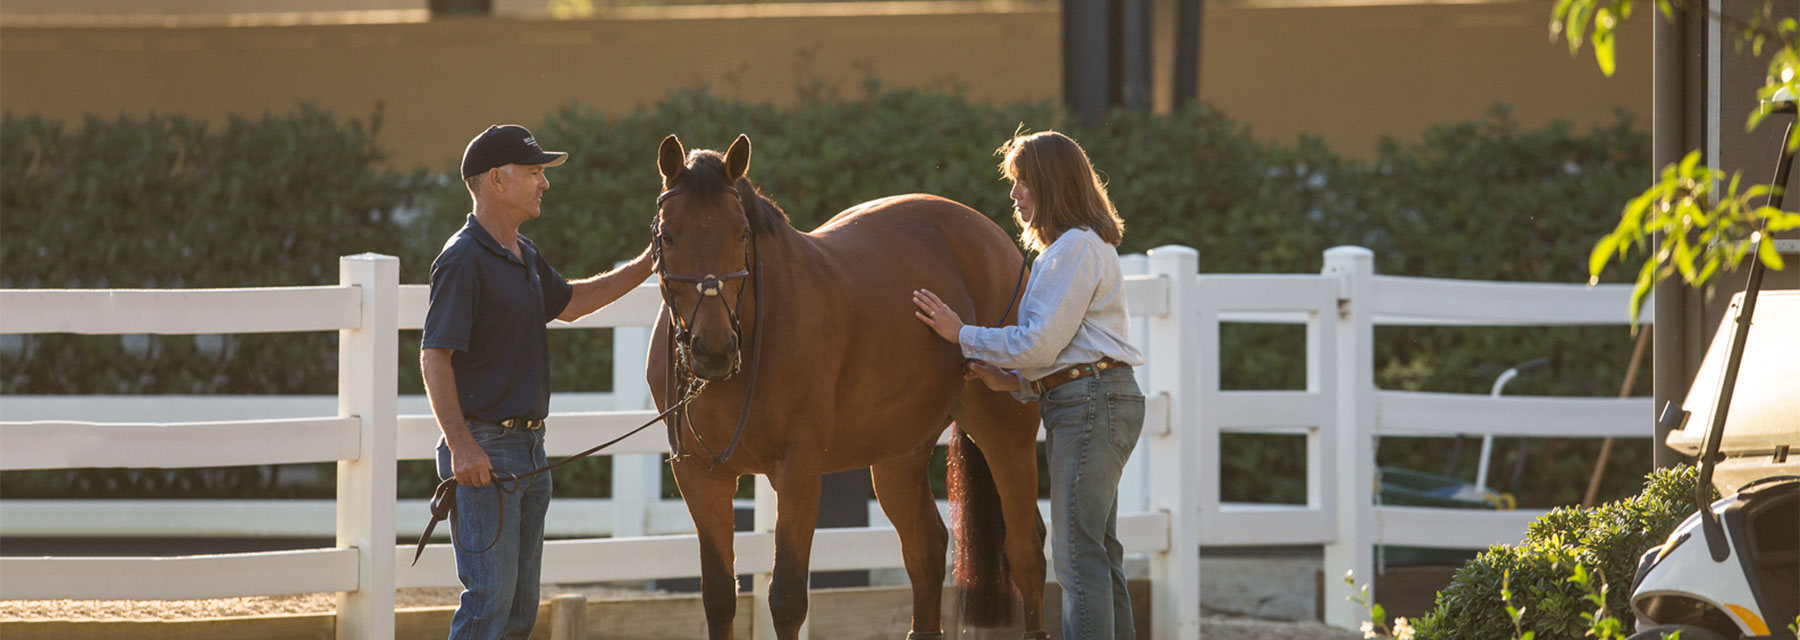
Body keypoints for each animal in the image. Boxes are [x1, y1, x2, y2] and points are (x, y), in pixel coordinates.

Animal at [648, 132, 1051, 636]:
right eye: (667, 236)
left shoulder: (799, 469)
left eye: (741, 234)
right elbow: (720, 596)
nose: (714, 350)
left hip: (1005, 433)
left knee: (1025, 549)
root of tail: (994, 240)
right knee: (926, 550)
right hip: (899, 453)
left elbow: (786, 597)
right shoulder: (700, 475)